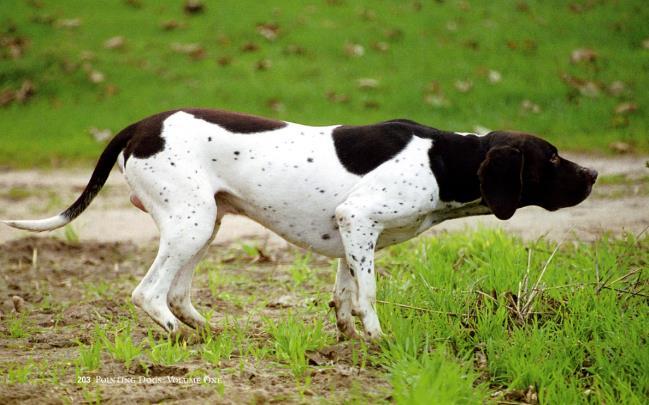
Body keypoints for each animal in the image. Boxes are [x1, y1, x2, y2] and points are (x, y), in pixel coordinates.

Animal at [1, 108, 596, 338]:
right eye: (551, 157)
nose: (592, 174)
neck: (442, 159)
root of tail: (142, 124)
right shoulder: (360, 219)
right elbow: (369, 294)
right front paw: (379, 341)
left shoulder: (353, 232)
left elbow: (344, 293)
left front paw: (349, 337)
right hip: (191, 224)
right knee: (148, 293)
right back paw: (177, 336)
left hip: (202, 225)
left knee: (179, 292)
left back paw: (207, 331)